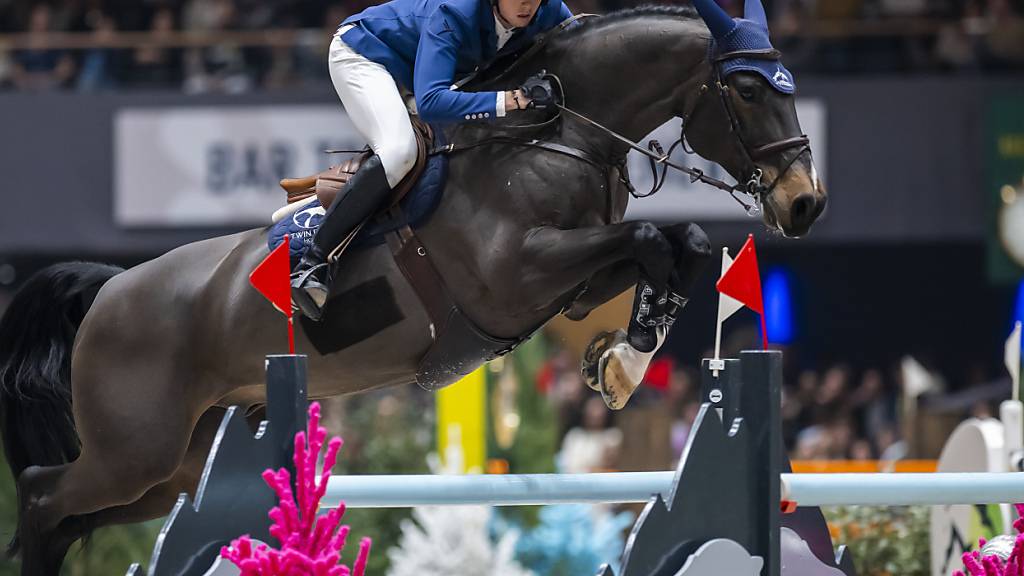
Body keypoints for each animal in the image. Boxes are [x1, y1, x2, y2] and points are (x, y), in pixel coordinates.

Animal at [0, 2, 823, 569]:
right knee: (42, 492)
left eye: (788, 85)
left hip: (171, 467)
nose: (805, 204)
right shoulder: (517, 275)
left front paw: (620, 361)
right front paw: (622, 361)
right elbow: (654, 239)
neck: (558, 134)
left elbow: (680, 245)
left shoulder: (573, 285)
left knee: (78, 511)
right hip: (134, 449)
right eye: (748, 90)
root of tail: (111, 290)